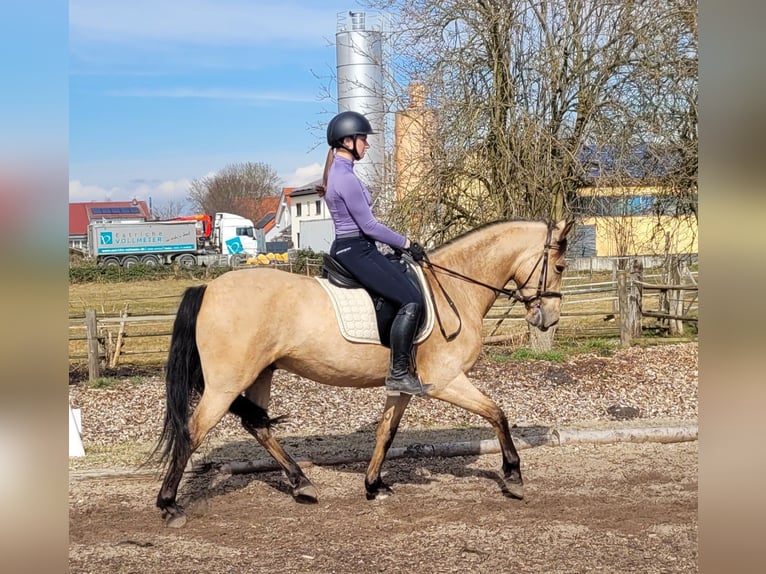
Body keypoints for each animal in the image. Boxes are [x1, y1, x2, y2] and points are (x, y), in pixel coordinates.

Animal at [156, 218, 572, 528]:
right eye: (561, 267)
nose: (548, 319)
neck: (454, 288)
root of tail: (208, 288)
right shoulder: (446, 381)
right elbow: (497, 413)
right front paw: (514, 477)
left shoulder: (404, 385)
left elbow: (386, 432)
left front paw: (374, 485)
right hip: (226, 383)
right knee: (192, 431)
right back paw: (169, 505)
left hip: (261, 373)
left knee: (258, 425)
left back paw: (302, 484)